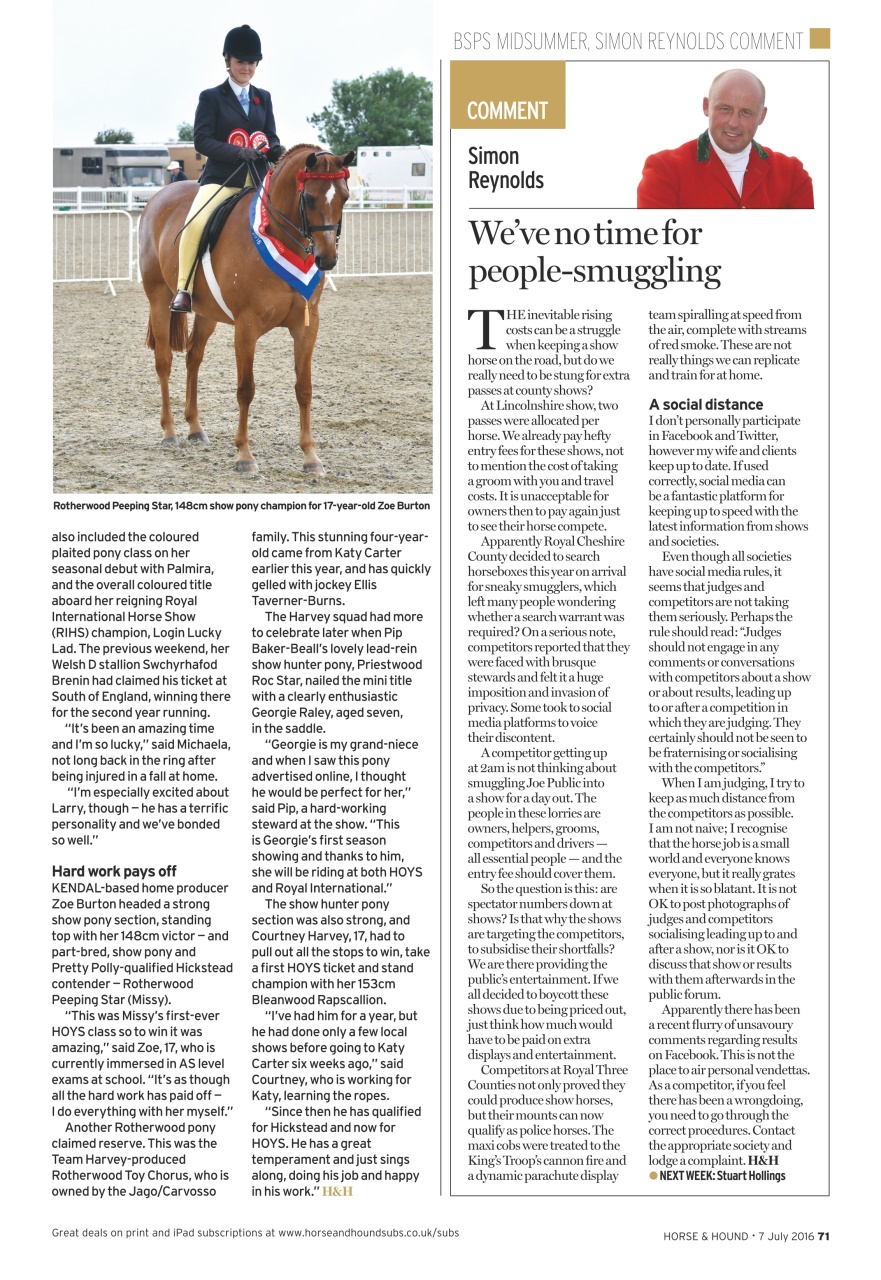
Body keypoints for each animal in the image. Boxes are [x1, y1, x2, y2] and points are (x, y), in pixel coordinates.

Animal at [139, 144, 355, 475]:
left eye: (344, 196)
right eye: (308, 198)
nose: (327, 259)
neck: (279, 236)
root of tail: (159, 196)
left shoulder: (307, 325)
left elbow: (304, 388)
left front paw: (311, 457)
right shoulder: (246, 326)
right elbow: (245, 388)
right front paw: (244, 455)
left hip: (206, 313)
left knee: (193, 357)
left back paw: (195, 428)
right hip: (159, 298)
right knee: (164, 361)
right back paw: (170, 431)